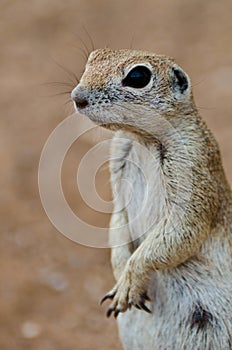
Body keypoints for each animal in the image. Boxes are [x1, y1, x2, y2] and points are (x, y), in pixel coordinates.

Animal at [71, 48, 231, 350]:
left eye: (138, 76)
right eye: (92, 58)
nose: (77, 96)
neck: (141, 139)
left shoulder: (193, 168)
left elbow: (183, 230)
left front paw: (129, 280)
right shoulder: (118, 169)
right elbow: (118, 221)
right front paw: (120, 273)